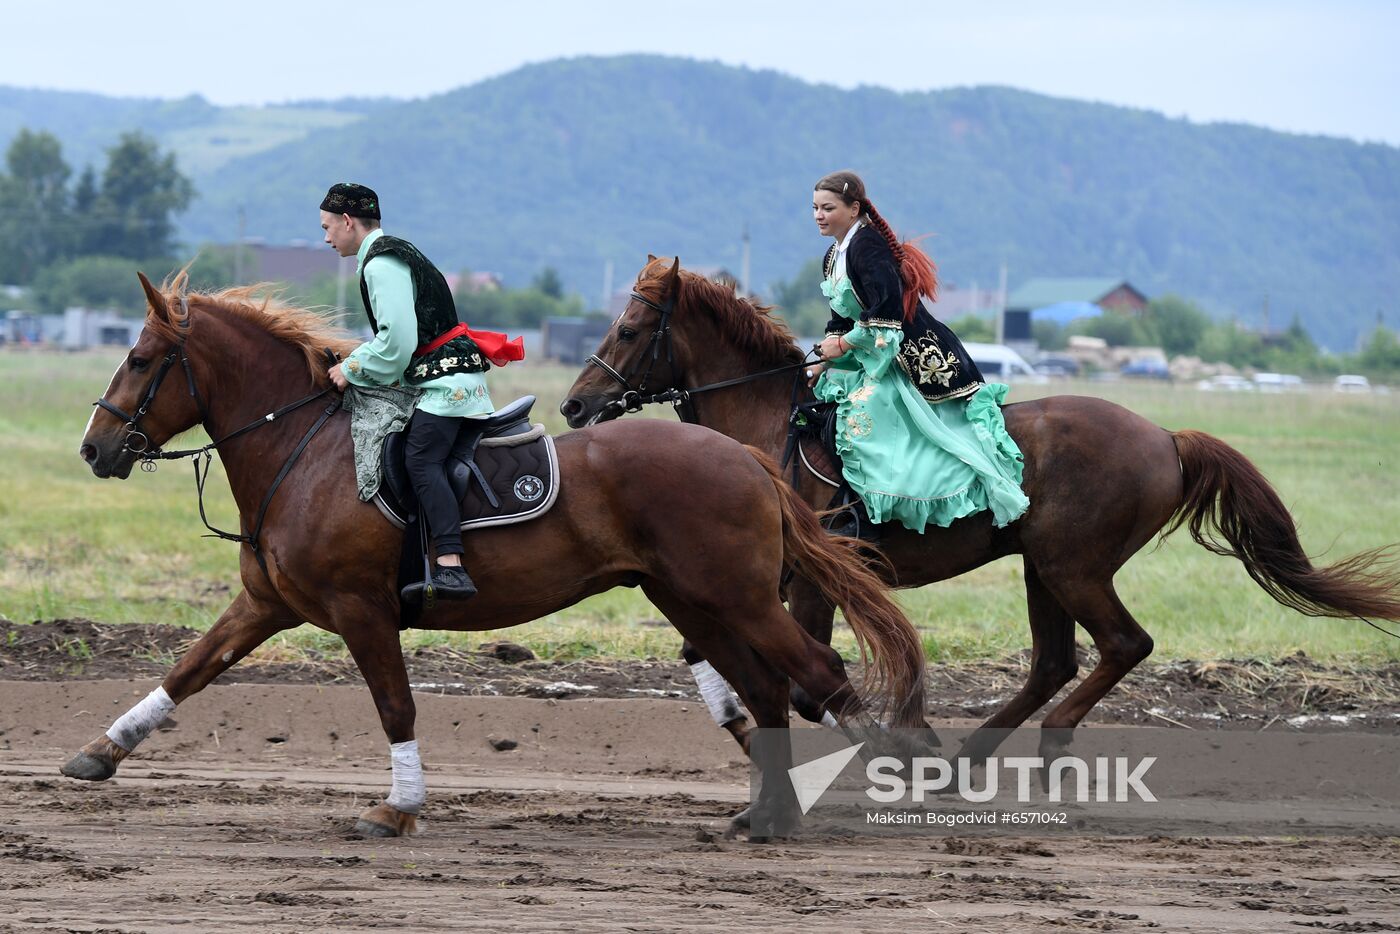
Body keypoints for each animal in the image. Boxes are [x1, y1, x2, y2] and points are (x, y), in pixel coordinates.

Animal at [63, 271, 929, 840]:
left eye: (139, 360)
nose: (94, 448)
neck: (305, 451)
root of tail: (744, 455)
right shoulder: (266, 605)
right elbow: (189, 669)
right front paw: (100, 751)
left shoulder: (361, 611)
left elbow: (395, 706)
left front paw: (397, 808)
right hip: (695, 600)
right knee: (767, 689)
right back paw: (769, 812)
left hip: (737, 598)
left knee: (817, 674)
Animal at [560, 256, 1400, 761]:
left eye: (629, 328)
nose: (574, 405)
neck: (773, 425)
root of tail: (1165, 434)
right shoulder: (741, 577)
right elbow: (708, 654)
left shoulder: (809, 579)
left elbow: (807, 680)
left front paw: (889, 736)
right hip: (1041, 567)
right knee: (1056, 659)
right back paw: (971, 754)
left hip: (1072, 565)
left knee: (1123, 644)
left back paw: (1034, 740)